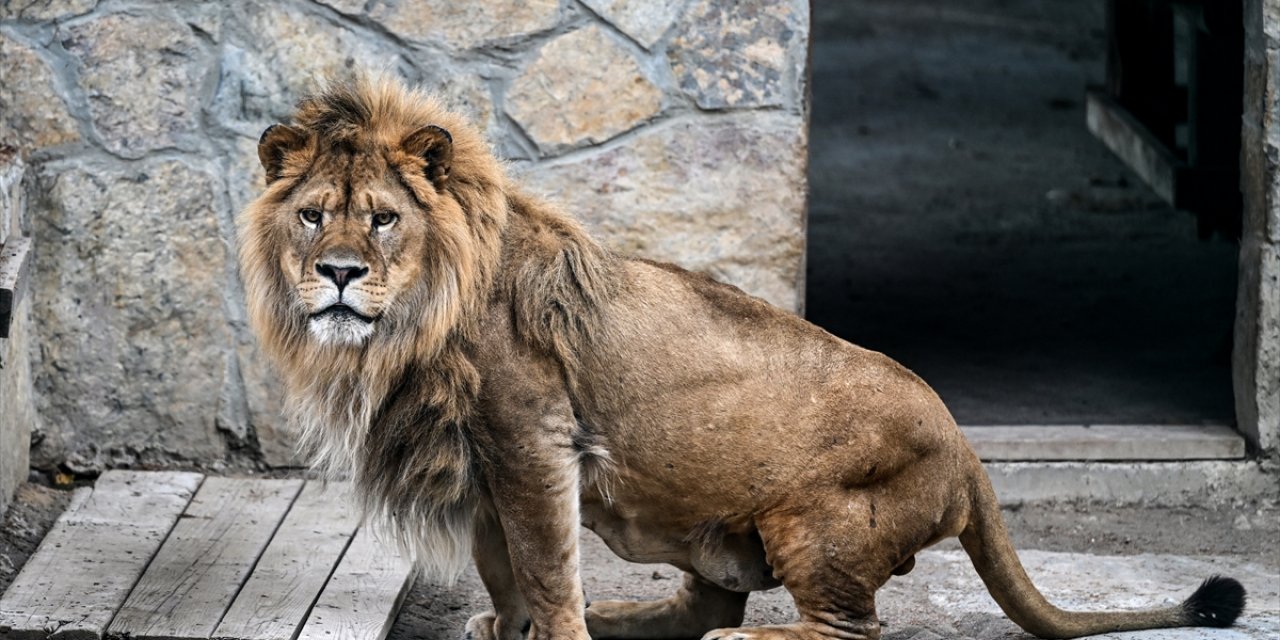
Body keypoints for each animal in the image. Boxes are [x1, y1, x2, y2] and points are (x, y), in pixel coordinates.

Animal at [235, 76, 1244, 640]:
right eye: (313, 214)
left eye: (384, 219)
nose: (337, 273)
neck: (410, 326)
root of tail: (968, 453)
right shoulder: (483, 462)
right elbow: (506, 566)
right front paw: (509, 625)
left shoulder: (532, 438)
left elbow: (548, 567)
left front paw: (558, 631)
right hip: (711, 522)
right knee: (708, 604)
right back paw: (627, 618)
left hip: (812, 517)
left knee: (847, 629)